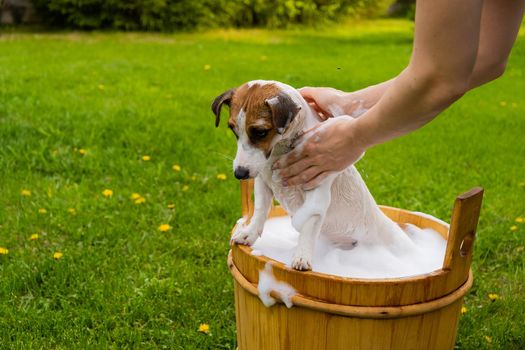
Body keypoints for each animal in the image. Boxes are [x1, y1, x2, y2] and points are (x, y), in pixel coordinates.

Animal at [210, 81, 414, 270]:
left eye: (260, 132)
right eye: (233, 130)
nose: (239, 173)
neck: (280, 150)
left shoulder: (316, 192)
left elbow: (308, 225)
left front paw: (302, 255)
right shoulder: (263, 182)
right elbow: (260, 211)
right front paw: (249, 233)